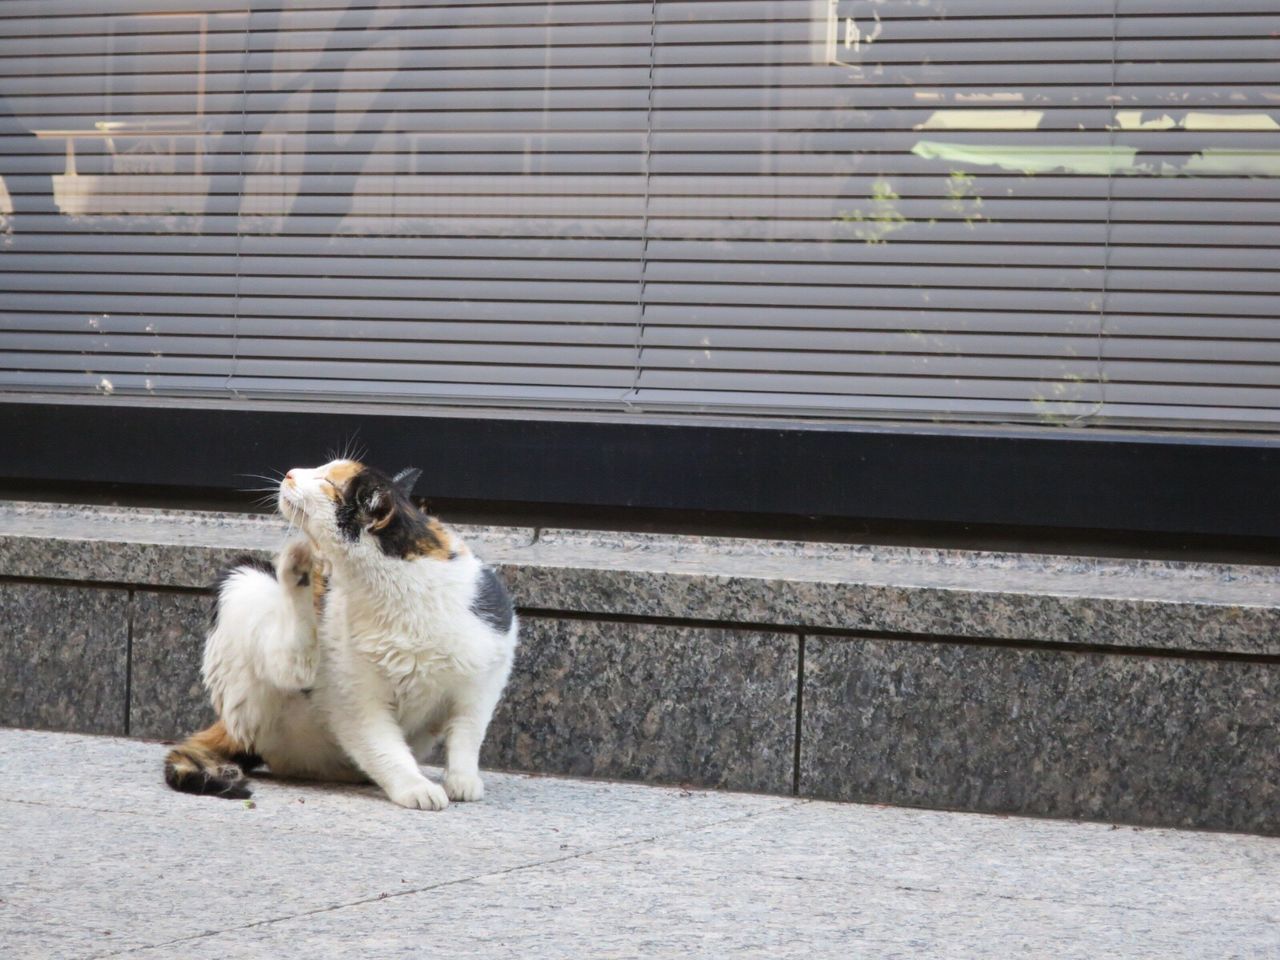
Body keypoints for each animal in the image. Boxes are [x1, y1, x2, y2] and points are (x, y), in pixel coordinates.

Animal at [165, 463, 514, 808]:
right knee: (290, 665)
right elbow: (385, 750)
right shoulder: (355, 700)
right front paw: (415, 787)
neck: (398, 589)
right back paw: (297, 568)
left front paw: (463, 780)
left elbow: (467, 734)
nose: (290, 473)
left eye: (328, 480)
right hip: (249, 583)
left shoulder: (487, 675)